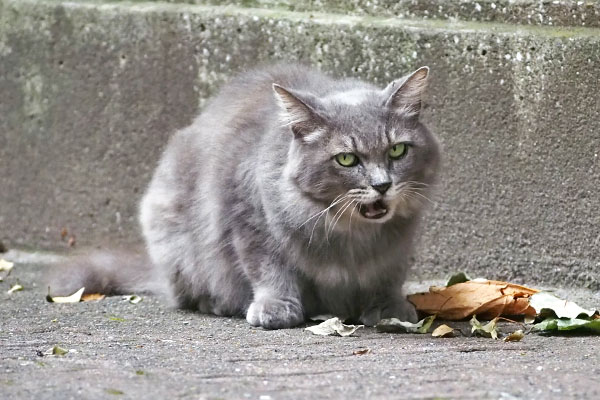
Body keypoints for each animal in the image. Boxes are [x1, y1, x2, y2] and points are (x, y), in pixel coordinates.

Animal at [48, 65, 440, 328]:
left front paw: (390, 308)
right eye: (347, 159)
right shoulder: (248, 218)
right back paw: (219, 304)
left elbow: (387, 274)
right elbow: (269, 269)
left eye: (397, 150)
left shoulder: (397, 245)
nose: (382, 185)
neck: (351, 235)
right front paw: (276, 308)